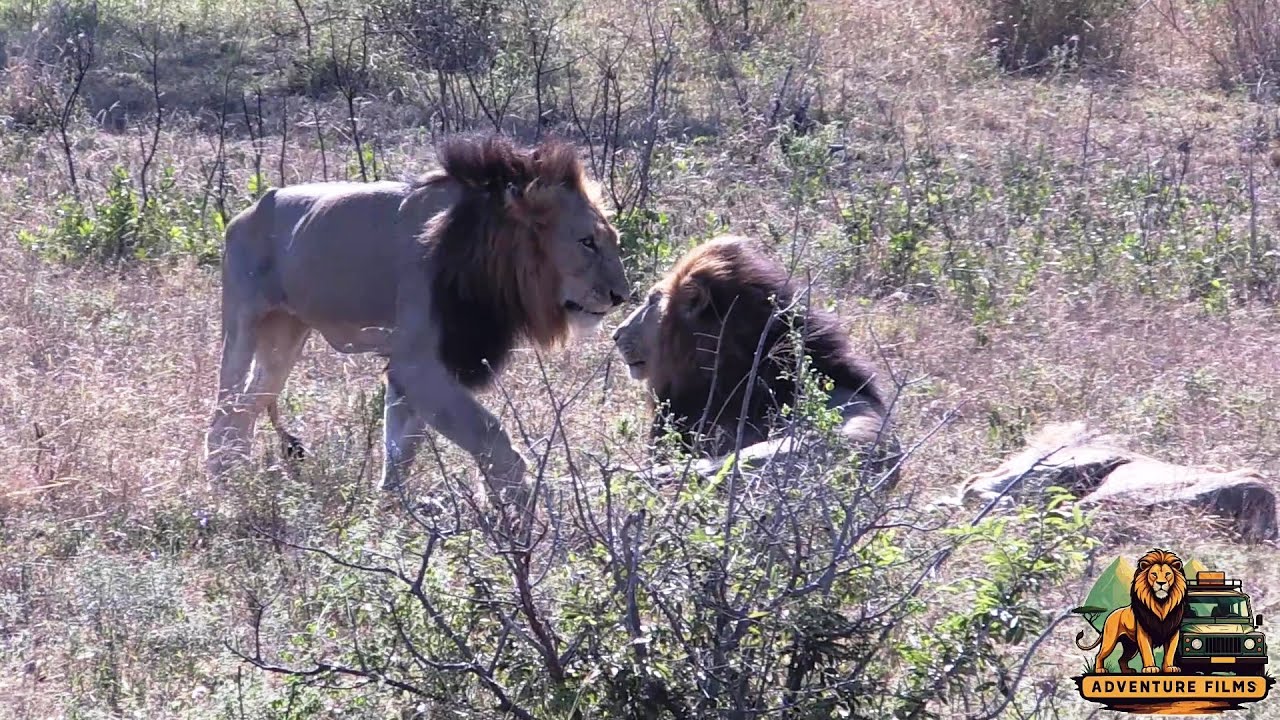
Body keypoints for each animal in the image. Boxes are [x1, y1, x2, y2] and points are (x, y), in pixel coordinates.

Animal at [206, 133, 631, 500]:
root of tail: (247, 211)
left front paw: (390, 513)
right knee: (223, 413)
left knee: (248, 406)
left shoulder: (417, 369)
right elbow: (492, 437)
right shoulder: (417, 364)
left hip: (286, 336)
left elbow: (400, 449)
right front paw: (522, 521)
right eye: (587, 242)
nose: (622, 297)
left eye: (613, 241)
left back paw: (242, 481)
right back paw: (222, 493)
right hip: (241, 325)